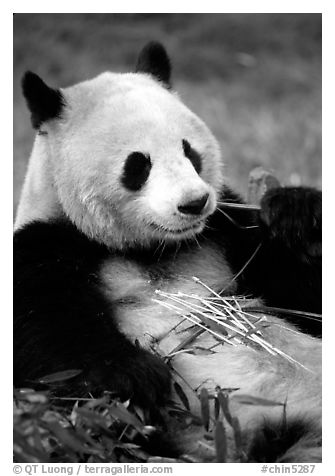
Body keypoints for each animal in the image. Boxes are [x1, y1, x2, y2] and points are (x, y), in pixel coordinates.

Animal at [13, 42, 322, 462]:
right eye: (138, 164)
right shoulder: (44, 246)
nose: (194, 203)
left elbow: (303, 298)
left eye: (190, 152)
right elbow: (51, 334)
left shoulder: (227, 233)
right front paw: (137, 378)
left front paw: (295, 213)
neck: (153, 250)